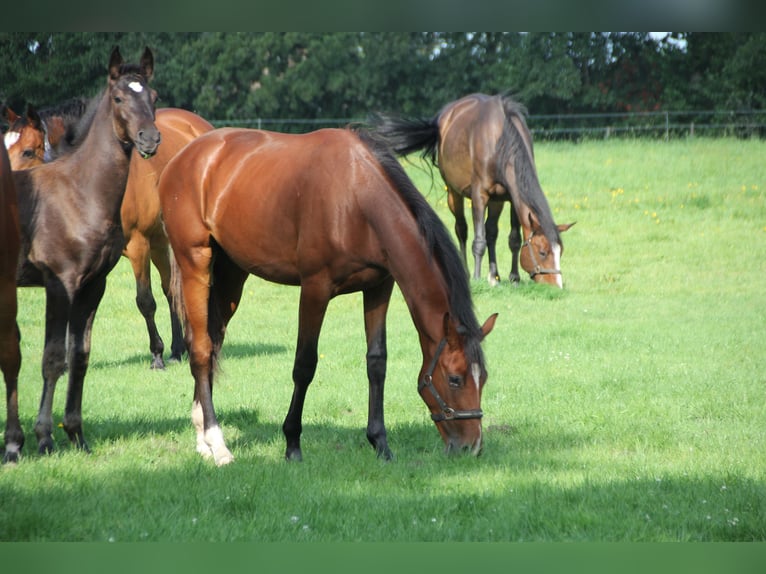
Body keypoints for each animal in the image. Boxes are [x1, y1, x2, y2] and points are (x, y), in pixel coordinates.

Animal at [4, 104, 213, 368]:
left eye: (28, 151)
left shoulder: (138, 246)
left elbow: (145, 301)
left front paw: (156, 355)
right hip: (159, 241)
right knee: (171, 290)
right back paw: (177, 350)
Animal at [10, 46, 160, 460]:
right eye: (119, 98)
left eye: (154, 97)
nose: (150, 138)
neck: (80, 193)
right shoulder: (58, 284)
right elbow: (52, 358)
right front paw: (45, 437)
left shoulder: (93, 286)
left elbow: (79, 356)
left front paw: (76, 434)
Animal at [159, 127, 500, 468]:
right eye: (455, 379)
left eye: (483, 377)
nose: (472, 446)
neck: (358, 198)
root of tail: (185, 156)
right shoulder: (315, 289)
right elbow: (304, 364)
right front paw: (292, 443)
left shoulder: (379, 287)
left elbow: (377, 362)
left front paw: (381, 444)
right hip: (195, 264)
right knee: (202, 349)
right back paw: (217, 444)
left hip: (231, 276)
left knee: (212, 342)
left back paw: (203, 438)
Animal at [372, 95, 576, 290]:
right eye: (542, 252)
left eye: (560, 252)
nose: (556, 285)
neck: (500, 140)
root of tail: (444, 116)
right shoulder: (479, 196)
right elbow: (479, 241)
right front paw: (477, 277)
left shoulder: (512, 197)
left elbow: (513, 240)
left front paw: (514, 278)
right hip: (454, 194)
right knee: (462, 230)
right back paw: (468, 272)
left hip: (496, 200)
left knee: (491, 231)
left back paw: (494, 276)